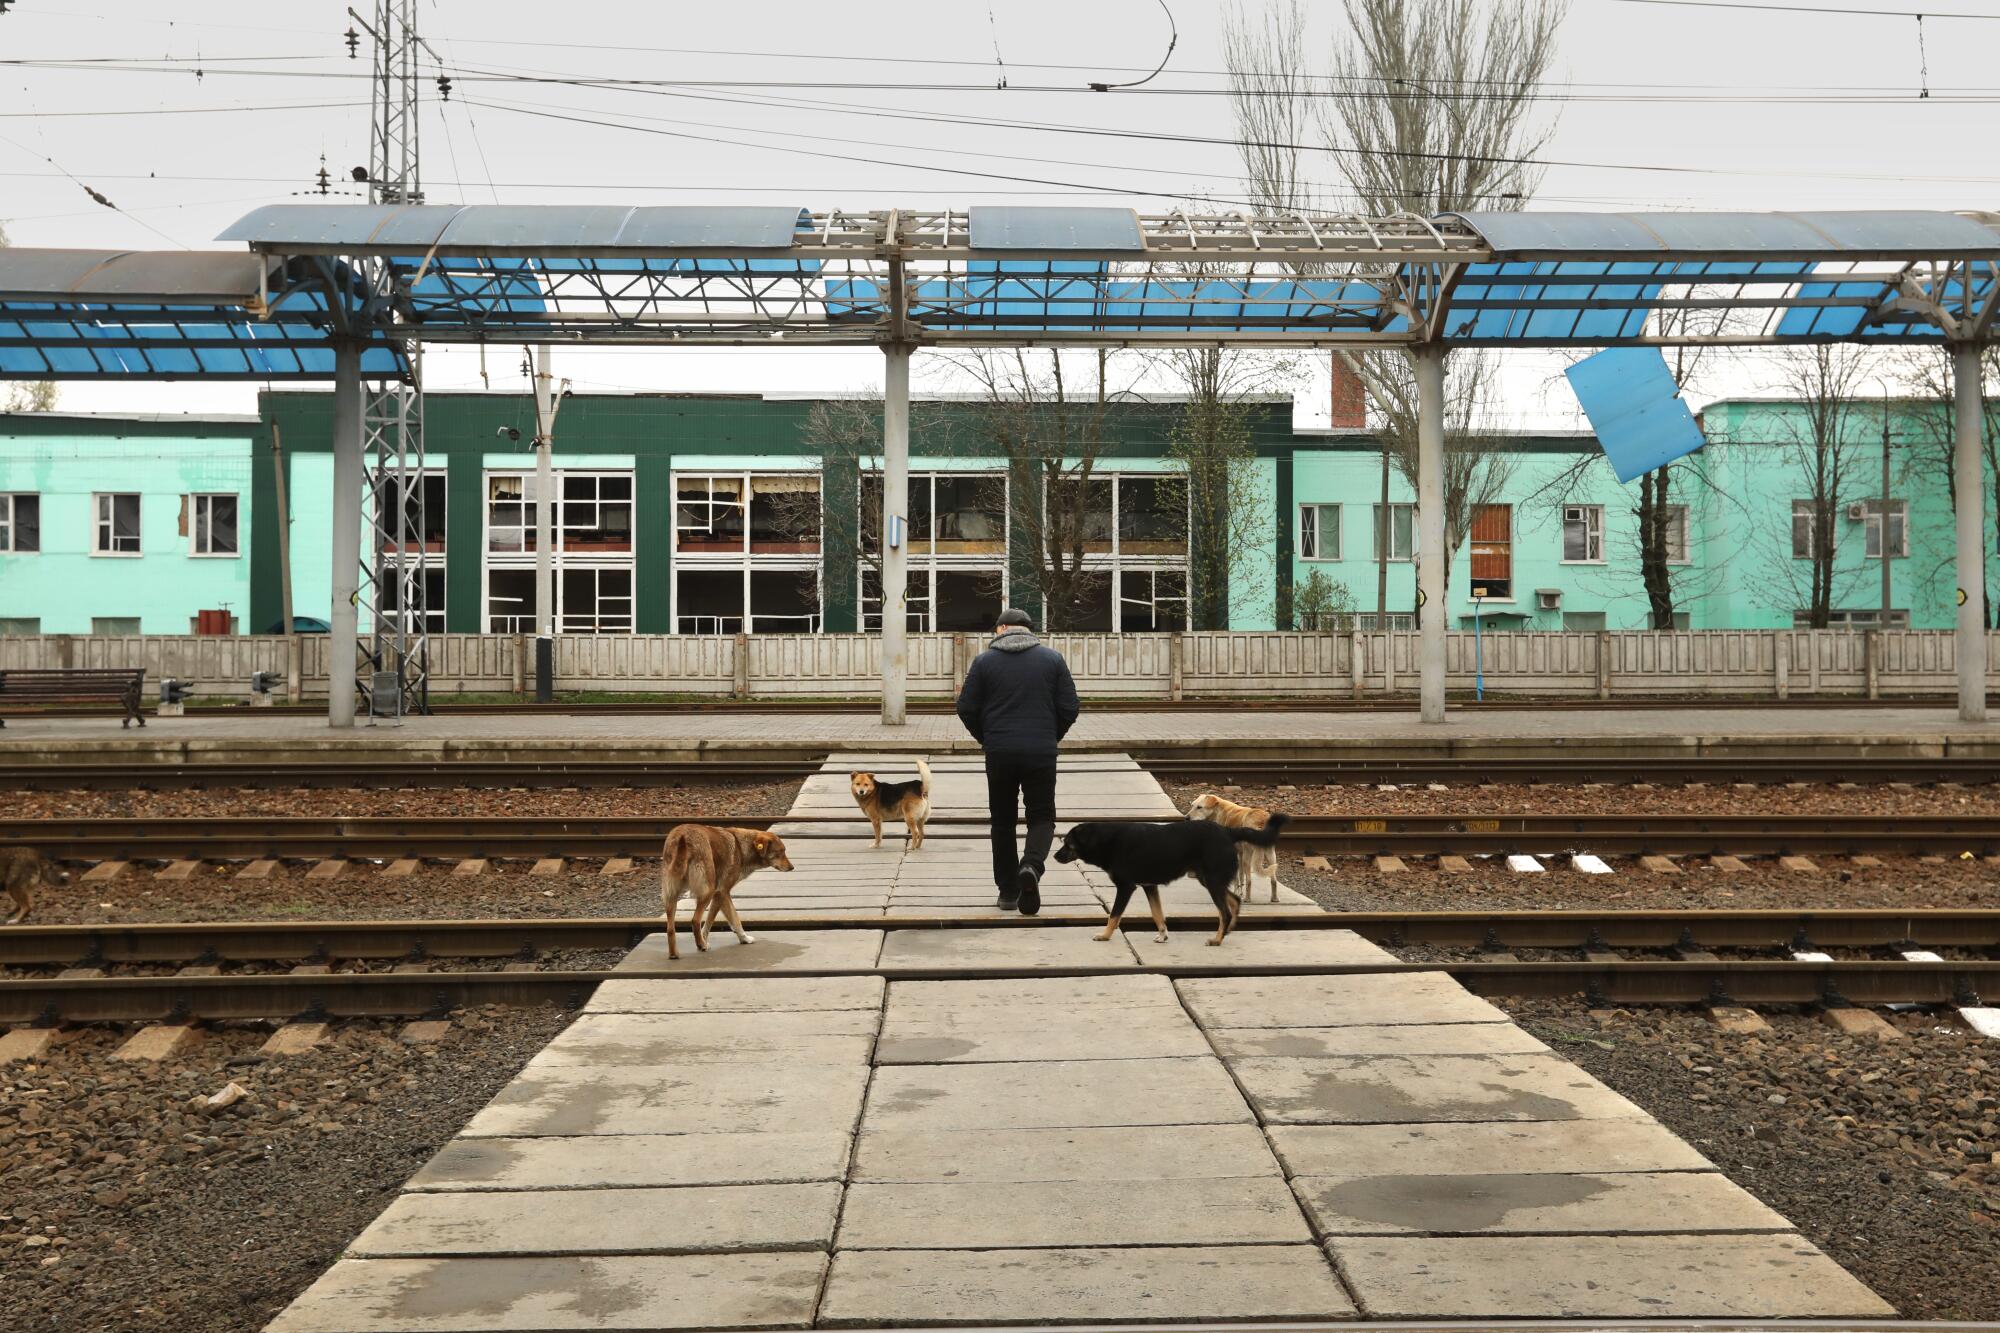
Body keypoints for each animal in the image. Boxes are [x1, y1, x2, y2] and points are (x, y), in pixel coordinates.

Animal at [660, 820, 792, 956]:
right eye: (780, 852)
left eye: (783, 851)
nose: (792, 867)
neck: (741, 848)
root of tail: (682, 838)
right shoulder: (722, 892)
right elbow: (734, 918)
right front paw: (744, 938)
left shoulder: (718, 895)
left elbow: (710, 922)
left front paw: (704, 941)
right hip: (706, 892)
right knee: (695, 920)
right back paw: (701, 944)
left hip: (671, 895)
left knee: (670, 928)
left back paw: (674, 954)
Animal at [1056, 808, 1288, 944]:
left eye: (1067, 843)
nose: (1055, 856)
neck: (1106, 841)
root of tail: (1227, 832)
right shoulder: (1150, 886)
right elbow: (1157, 913)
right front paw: (1162, 934)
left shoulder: (1126, 887)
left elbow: (1114, 916)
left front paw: (1104, 935)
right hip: (1210, 880)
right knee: (1234, 901)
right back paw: (1227, 931)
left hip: (1212, 881)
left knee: (1225, 911)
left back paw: (1217, 939)